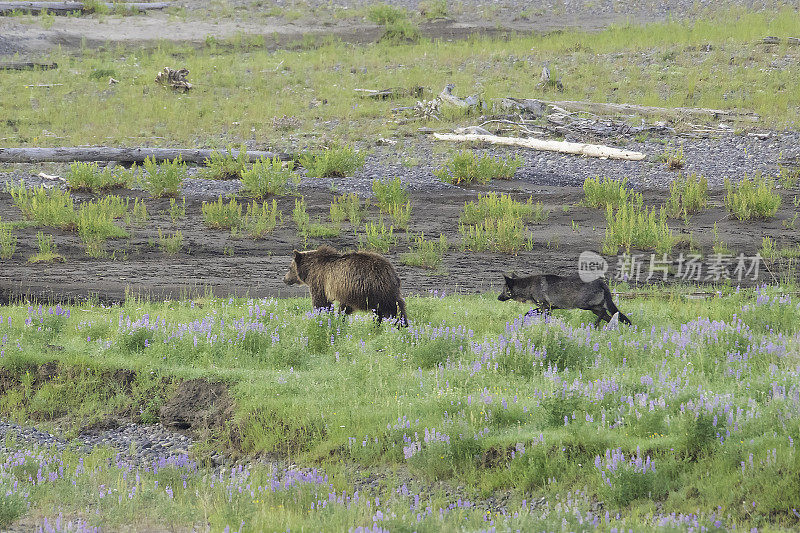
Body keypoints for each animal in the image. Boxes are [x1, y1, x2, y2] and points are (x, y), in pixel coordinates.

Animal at [500, 272, 632, 326]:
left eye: (504, 289)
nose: (498, 297)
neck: (529, 286)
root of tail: (601, 282)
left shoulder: (545, 307)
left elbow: (530, 314)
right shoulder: (548, 308)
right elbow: (528, 313)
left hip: (586, 306)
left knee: (605, 312)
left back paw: (596, 325)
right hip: (593, 308)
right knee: (610, 316)